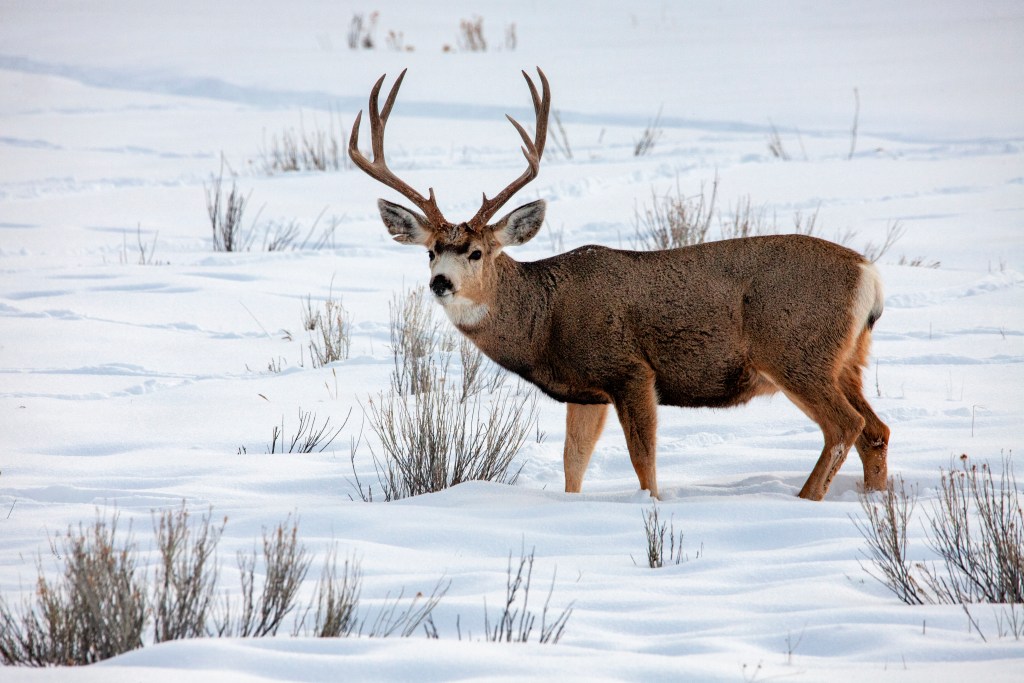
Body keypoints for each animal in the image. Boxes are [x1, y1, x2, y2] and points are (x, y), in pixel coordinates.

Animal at [346, 66, 888, 499]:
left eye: (477, 253)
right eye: (431, 251)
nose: (440, 283)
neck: (545, 319)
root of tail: (869, 274)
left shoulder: (630, 370)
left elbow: (643, 462)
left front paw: (652, 508)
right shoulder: (586, 392)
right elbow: (573, 466)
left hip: (796, 350)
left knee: (847, 425)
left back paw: (807, 499)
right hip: (845, 359)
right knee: (876, 431)